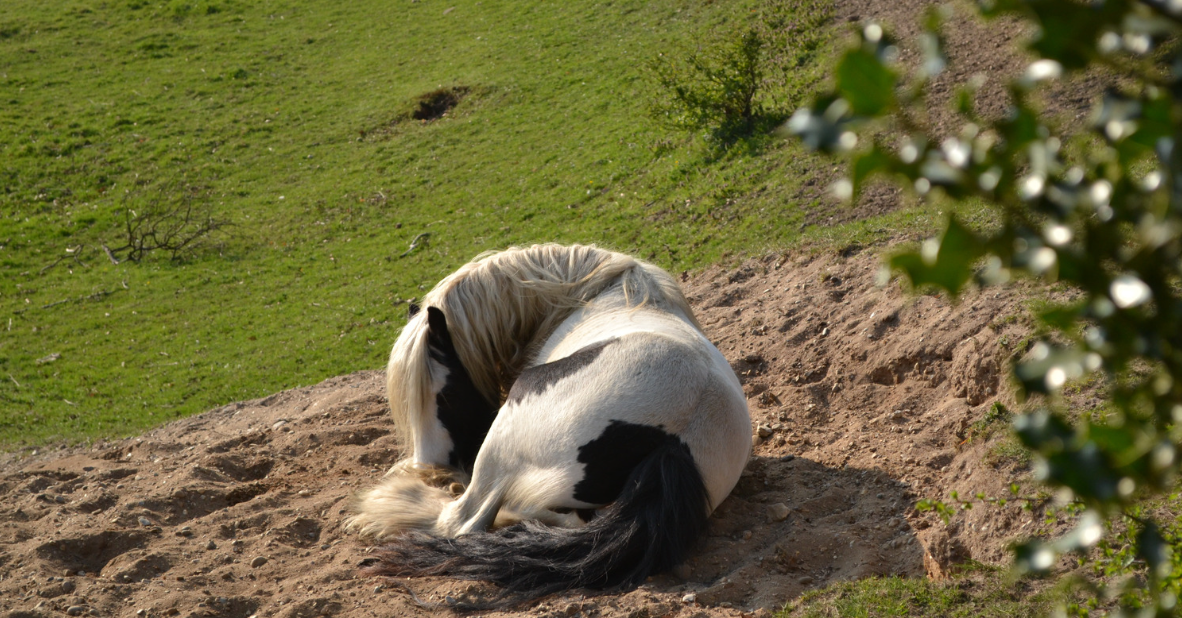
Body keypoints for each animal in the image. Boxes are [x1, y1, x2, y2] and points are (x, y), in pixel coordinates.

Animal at [342, 244, 747, 602]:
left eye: (446, 396)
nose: (433, 469)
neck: (594, 295)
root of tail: (675, 441)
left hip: (502, 439)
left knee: (461, 522)